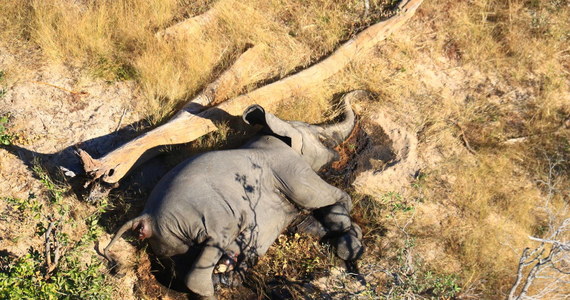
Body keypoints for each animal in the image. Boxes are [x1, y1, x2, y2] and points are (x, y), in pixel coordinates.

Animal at [103, 91, 364, 298]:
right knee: (208, 254)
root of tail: (144, 217)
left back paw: (227, 277)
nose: (360, 94)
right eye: (321, 137)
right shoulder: (289, 168)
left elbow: (304, 221)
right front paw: (351, 243)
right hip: (203, 218)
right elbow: (328, 197)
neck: (273, 134)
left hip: (169, 242)